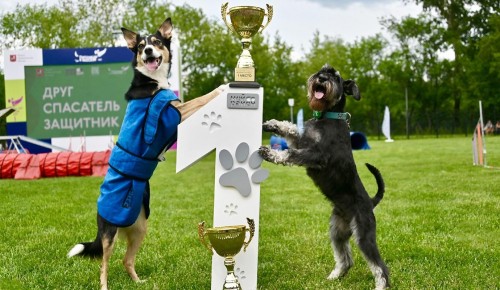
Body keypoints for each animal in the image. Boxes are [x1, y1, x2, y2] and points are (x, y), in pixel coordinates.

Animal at [67, 18, 224, 290]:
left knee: (126, 260)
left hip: (141, 229)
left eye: (157, 42)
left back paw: (139, 282)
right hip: (109, 235)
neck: (153, 82)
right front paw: (221, 88)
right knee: (103, 266)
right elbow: (200, 99)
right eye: (141, 46)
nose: (148, 51)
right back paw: (106, 286)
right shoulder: (175, 114)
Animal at [260, 64, 388, 290]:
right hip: (337, 231)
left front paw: (268, 152)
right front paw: (271, 124)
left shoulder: (316, 155)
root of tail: (371, 203)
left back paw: (381, 285)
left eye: (335, 76)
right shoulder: (302, 142)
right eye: (323, 69)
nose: (321, 78)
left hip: (364, 235)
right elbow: (291, 129)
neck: (329, 116)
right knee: (345, 258)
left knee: (380, 266)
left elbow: (288, 154)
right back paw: (334, 276)